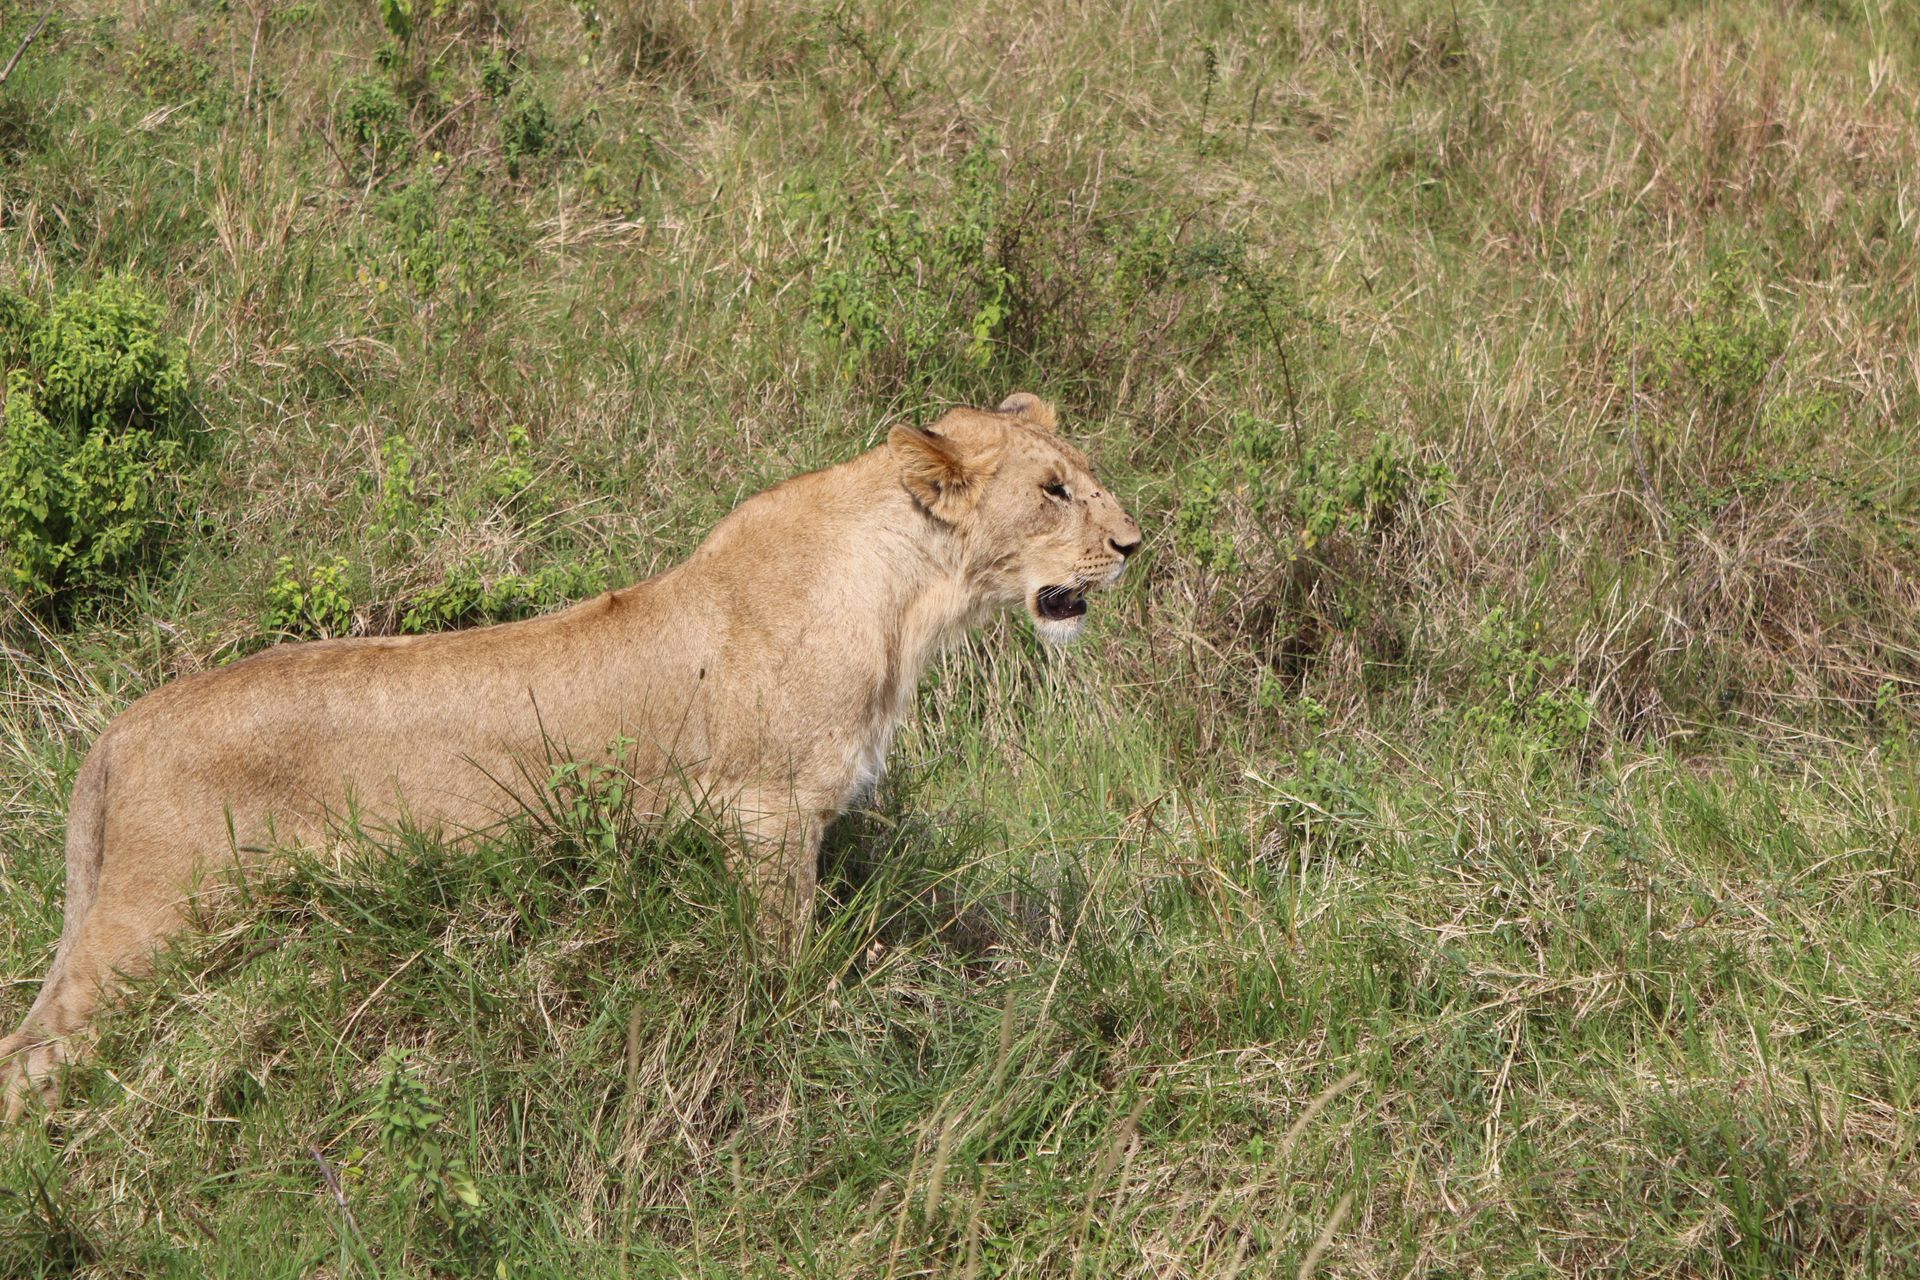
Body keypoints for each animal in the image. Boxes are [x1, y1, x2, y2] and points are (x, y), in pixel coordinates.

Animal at [0, 393, 1141, 1119]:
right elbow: (787, 959)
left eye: (1085, 480)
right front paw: (800, 1034)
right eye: (1053, 490)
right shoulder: (767, 815)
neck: (910, 595)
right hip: (155, 917)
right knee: (33, 1049)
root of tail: (119, 730)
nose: (1134, 544)